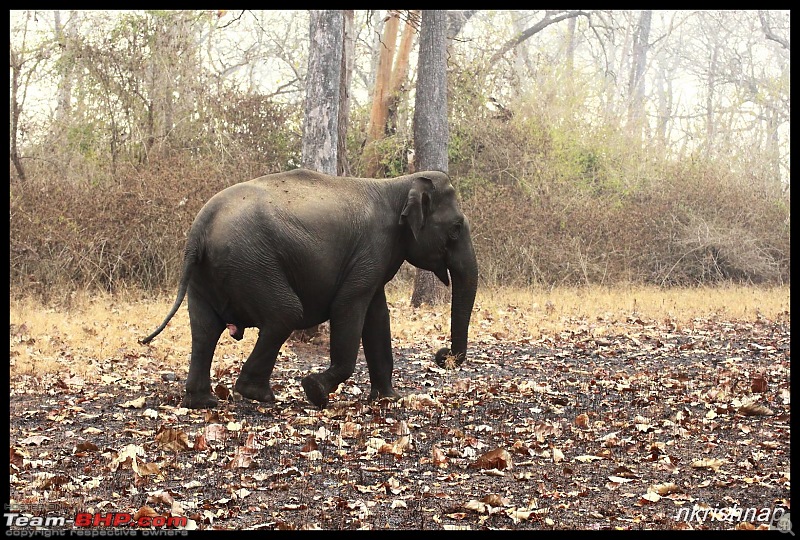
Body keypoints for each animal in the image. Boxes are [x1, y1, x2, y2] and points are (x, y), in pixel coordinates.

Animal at [141, 169, 478, 410]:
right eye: (455, 229)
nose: (443, 355)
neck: (399, 184)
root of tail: (199, 229)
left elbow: (377, 318)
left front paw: (388, 400)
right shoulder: (372, 249)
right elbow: (349, 308)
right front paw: (315, 391)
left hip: (207, 274)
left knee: (205, 330)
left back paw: (203, 402)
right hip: (250, 263)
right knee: (285, 313)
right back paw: (258, 395)